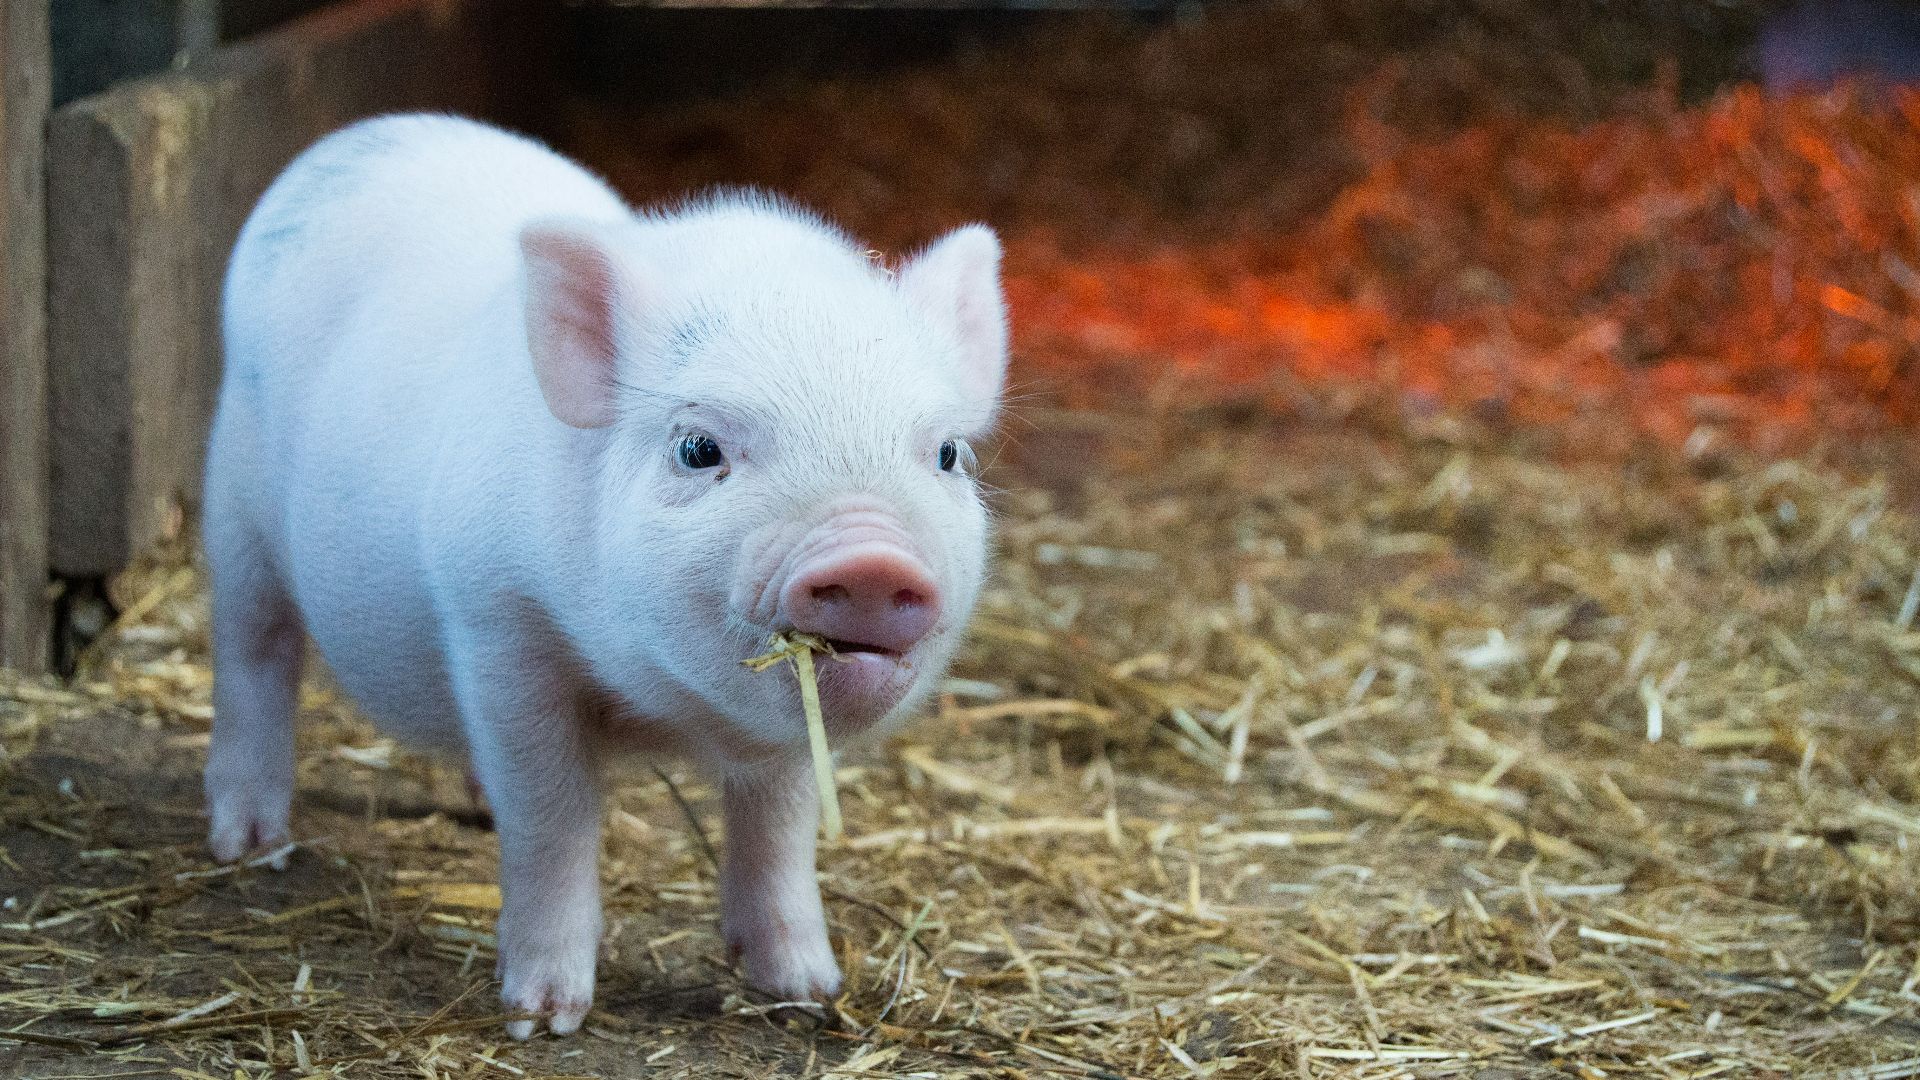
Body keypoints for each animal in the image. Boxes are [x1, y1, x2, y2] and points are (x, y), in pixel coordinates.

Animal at [202, 113, 1006, 1038]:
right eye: (698, 448)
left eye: (946, 454)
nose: (871, 558)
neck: (661, 709)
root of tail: (362, 136)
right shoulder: (496, 622)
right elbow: (551, 816)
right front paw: (542, 1018)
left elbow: (780, 825)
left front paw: (808, 992)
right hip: (234, 507)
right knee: (254, 651)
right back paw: (248, 846)